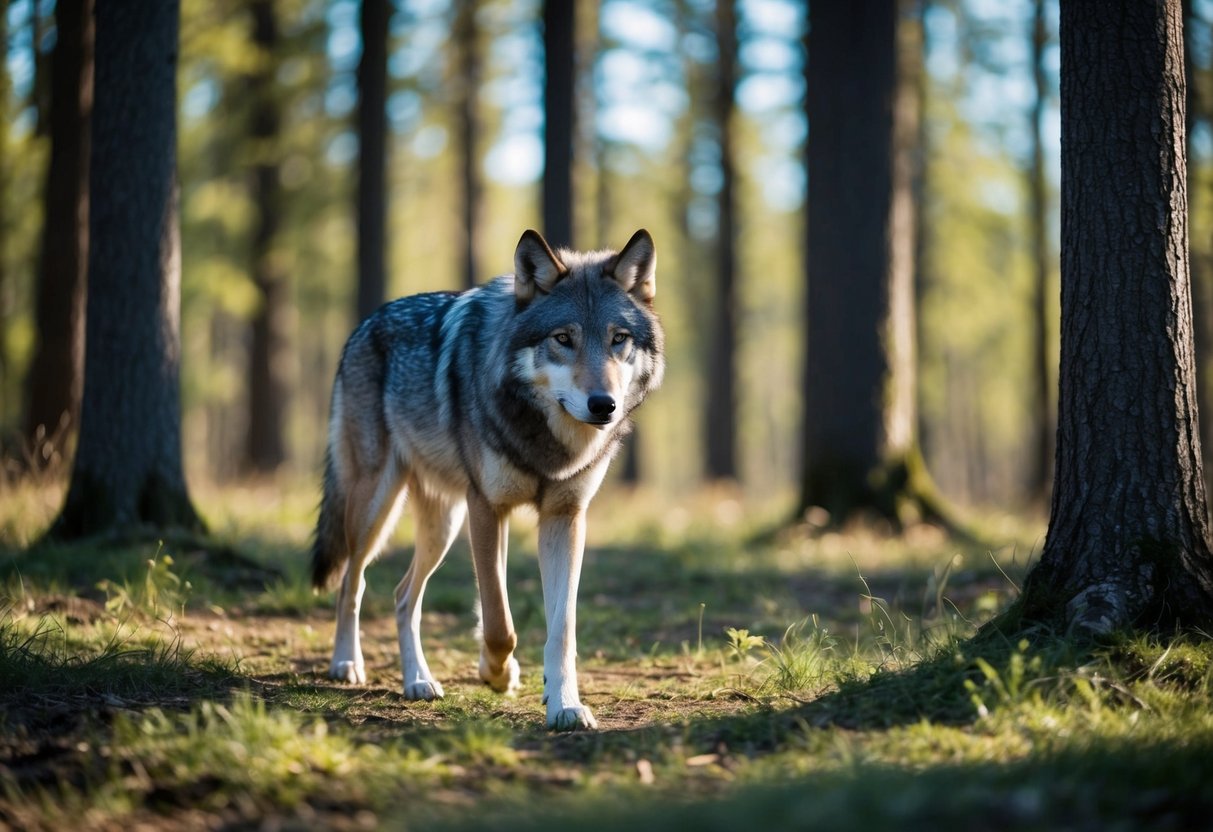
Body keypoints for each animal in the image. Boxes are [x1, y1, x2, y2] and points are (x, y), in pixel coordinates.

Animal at [303, 228, 664, 727]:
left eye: (619, 339)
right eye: (563, 338)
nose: (603, 404)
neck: (546, 442)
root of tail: (366, 323)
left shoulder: (565, 518)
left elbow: (562, 629)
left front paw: (565, 704)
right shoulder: (487, 508)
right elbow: (498, 621)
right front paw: (497, 672)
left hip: (443, 525)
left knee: (402, 595)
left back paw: (418, 680)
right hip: (377, 506)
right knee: (351, 583)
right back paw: (347, 663)